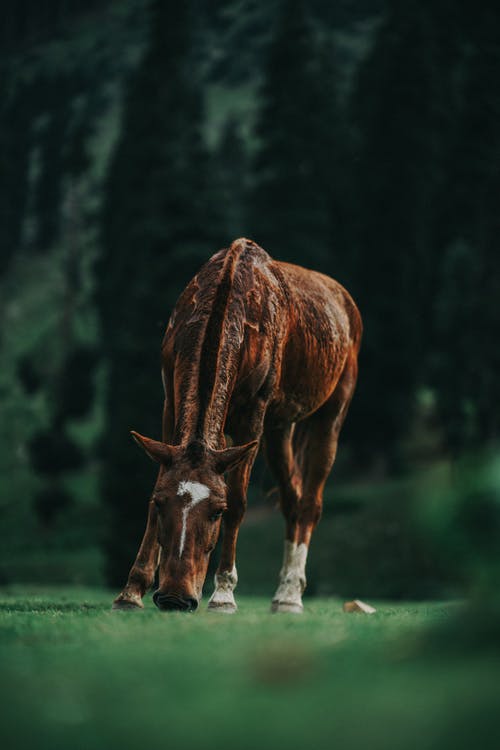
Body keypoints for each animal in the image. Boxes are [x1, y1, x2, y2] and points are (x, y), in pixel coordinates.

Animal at [113, 238, 362, 612]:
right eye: (161, 503)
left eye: (218, 511)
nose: (175, 597)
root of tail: (347, 303)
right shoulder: (171, 401)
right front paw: (130, 592)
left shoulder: (253, 413)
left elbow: (240, 500)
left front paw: (223, 594)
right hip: (279, 427)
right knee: (291, 497)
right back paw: (282, 594)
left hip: (333, 407)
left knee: (310, 503)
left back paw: (291, 595)